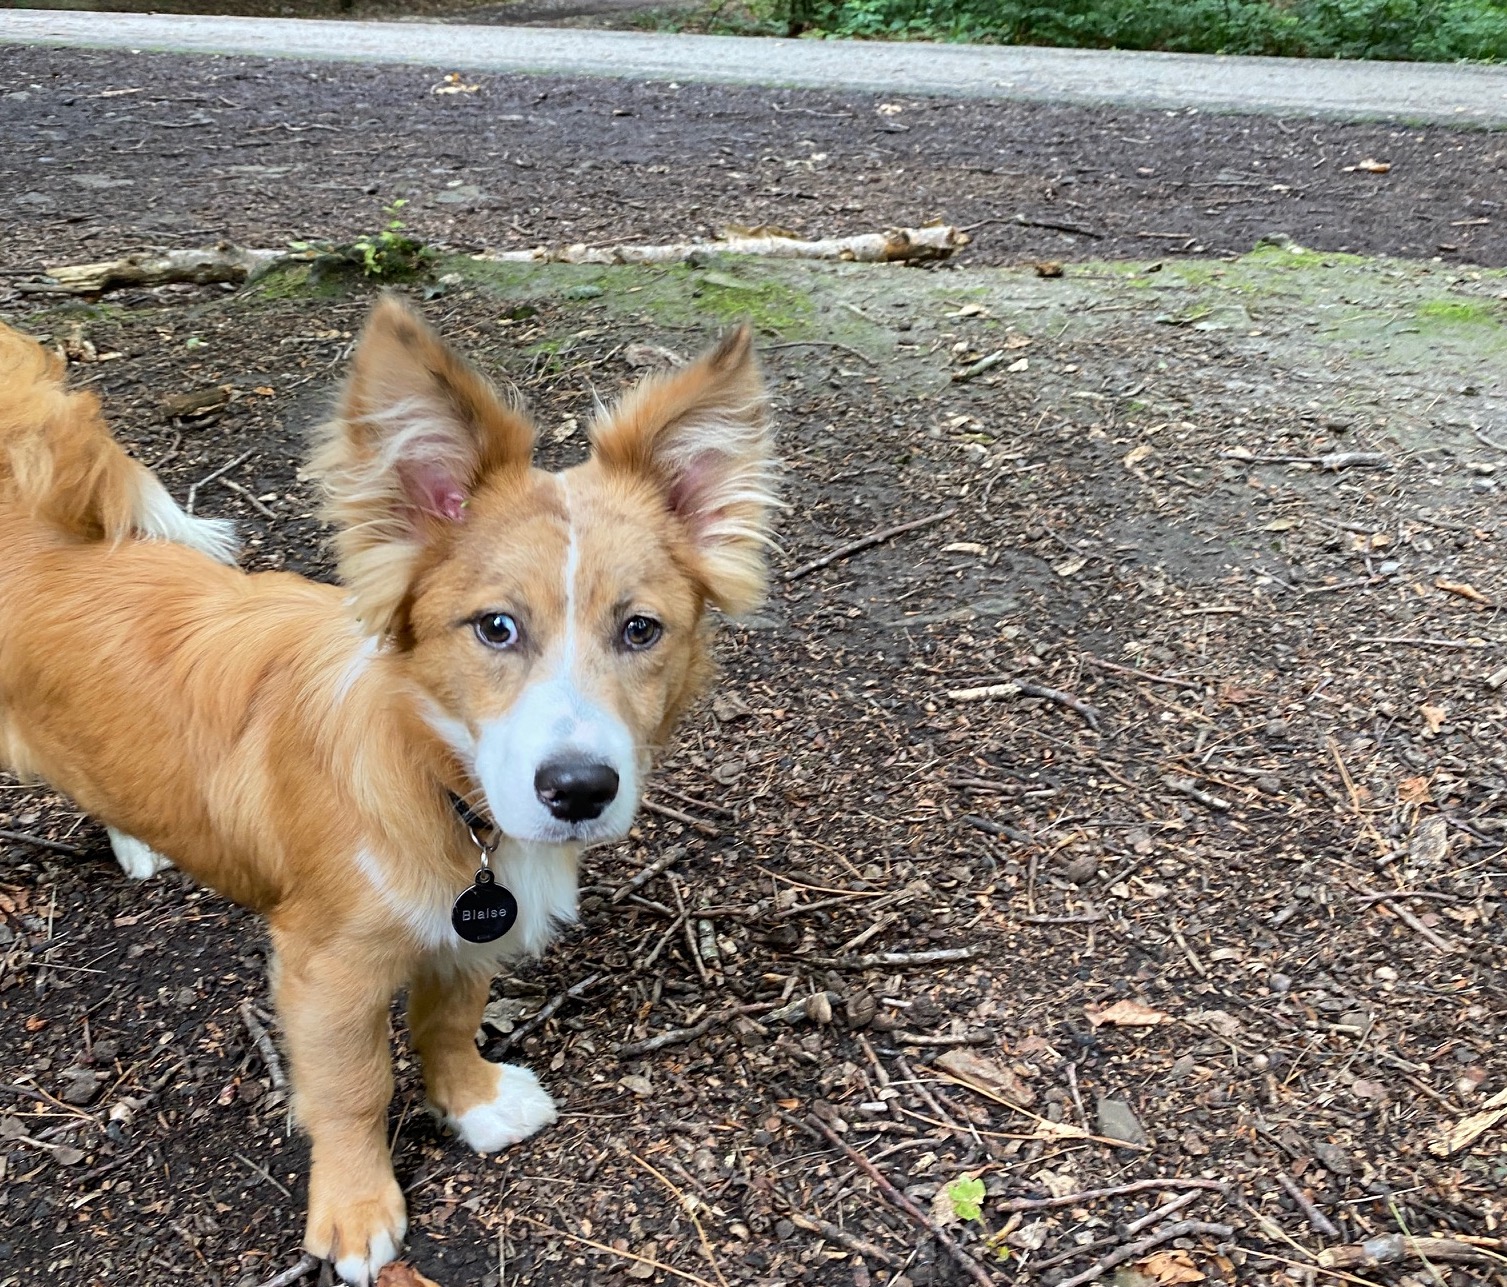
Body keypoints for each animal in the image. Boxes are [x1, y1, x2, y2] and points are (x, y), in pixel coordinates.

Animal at [0, 296, 777, 1283]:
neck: (434, 775)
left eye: (640, 629)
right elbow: (354, 1087)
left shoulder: (472, 924)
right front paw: (355, 1211)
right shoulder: (326, 969)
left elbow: (449, 1020)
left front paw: (473, 1102)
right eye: (495, 627)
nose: (578, 790)